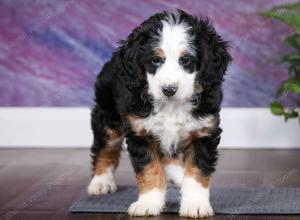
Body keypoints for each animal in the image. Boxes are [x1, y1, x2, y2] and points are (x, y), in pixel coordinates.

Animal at [86, 9, 232, 218]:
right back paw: (100, 182)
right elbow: (149, 170)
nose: (168, 89)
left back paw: (178, 175)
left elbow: (196, 172)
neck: (171, 105)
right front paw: (148, 203)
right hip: (108, 117)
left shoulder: (203, 132)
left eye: (185, 60)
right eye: (156, 60)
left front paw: (195, 204)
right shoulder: (140, 133)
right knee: (105, 148)